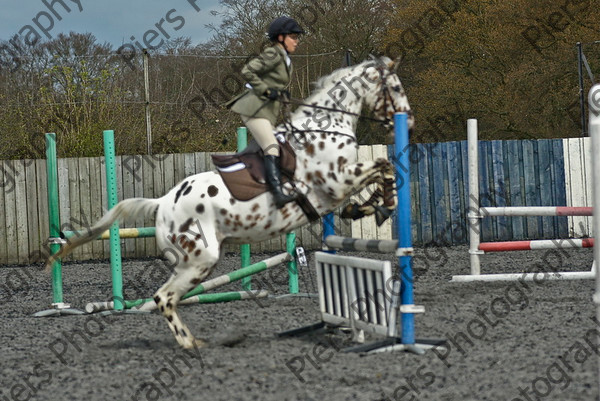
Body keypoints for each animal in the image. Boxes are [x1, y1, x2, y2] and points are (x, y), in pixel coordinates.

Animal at [47, 56, 412, 346]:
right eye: (394, 87)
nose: (407, 119)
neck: (326, 127)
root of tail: (162, 203)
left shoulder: (340, 185)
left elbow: (379, 173)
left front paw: (366, 207)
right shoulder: (336, 182)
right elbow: (384, 165)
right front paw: (381, 207)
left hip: (192, 262)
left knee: (166, 297)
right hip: (200, 259)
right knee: (163, 298)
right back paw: (191, 344)